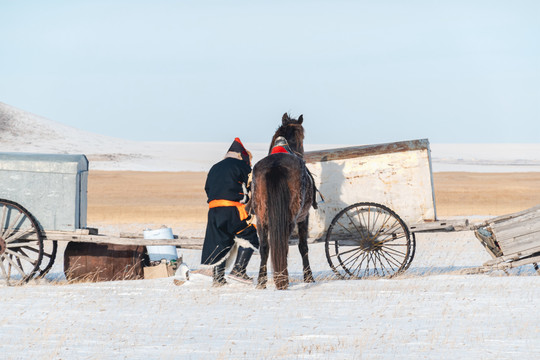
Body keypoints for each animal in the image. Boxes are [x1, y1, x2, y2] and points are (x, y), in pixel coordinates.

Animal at [251, 113, 314, 290]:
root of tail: (275, 165)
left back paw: (262, 282)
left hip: (261, 219)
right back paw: (282, 280)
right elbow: (303, 247)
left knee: (265, 247)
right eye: (302, 136)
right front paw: (309, 277)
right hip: (291, 218)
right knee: (284, 245)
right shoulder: (304, 217)